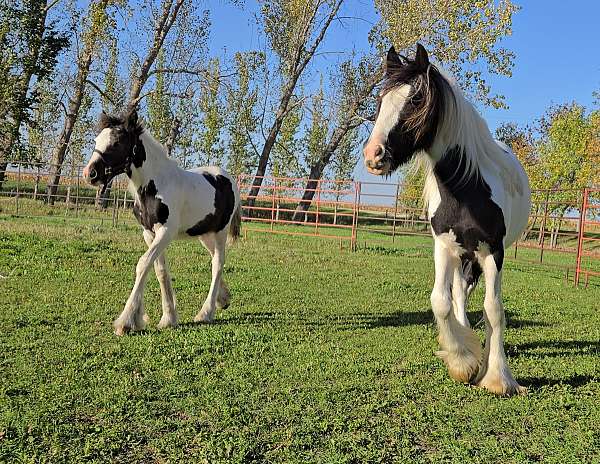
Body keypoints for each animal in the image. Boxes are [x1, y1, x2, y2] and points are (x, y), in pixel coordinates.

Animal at [82, 109, 241, 334]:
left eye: (117, 142)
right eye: (97, 140)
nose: (90, 174)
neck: (155, 185)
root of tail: (228, 178)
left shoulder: (166, 232)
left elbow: (143, 264)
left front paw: (127, 321)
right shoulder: (149, 233)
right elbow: (160, 271)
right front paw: (168, 317)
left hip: (220, 232)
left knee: (217, 263)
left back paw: (205, 313)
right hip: (204, 234)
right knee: (215, 259)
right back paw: (223, 298)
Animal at [364, 44, 532, 396]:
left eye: (415, 100)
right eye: (381, 101)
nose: (373, 155)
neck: (466, 190)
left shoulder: (494, 252)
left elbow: (494, 311)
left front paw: (498, 378)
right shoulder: (443, 247)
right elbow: (440, 301)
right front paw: (463, 361)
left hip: (477, 256)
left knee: (474, 296)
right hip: (461, 254)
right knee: (458, 294)